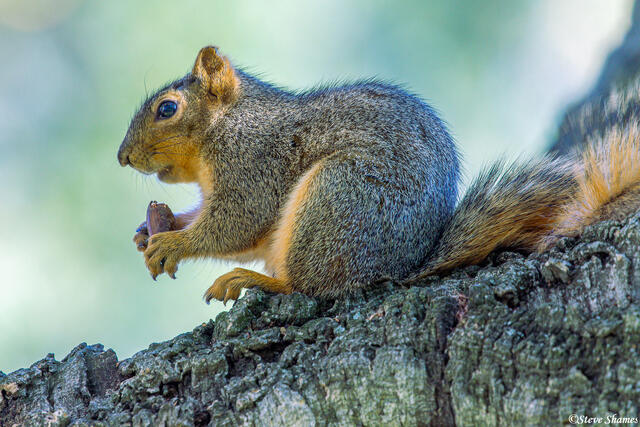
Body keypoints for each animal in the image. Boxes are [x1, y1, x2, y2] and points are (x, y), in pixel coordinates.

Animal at [117, 46, 640, 303]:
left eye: (167, 109)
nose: (122, 158)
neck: (229, 125)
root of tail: (403, 266)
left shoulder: (254, 163)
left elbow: (238, 223)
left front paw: (173, 242)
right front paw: (152, 228)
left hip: (336, 198)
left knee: (309, 285)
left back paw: (256, 281)